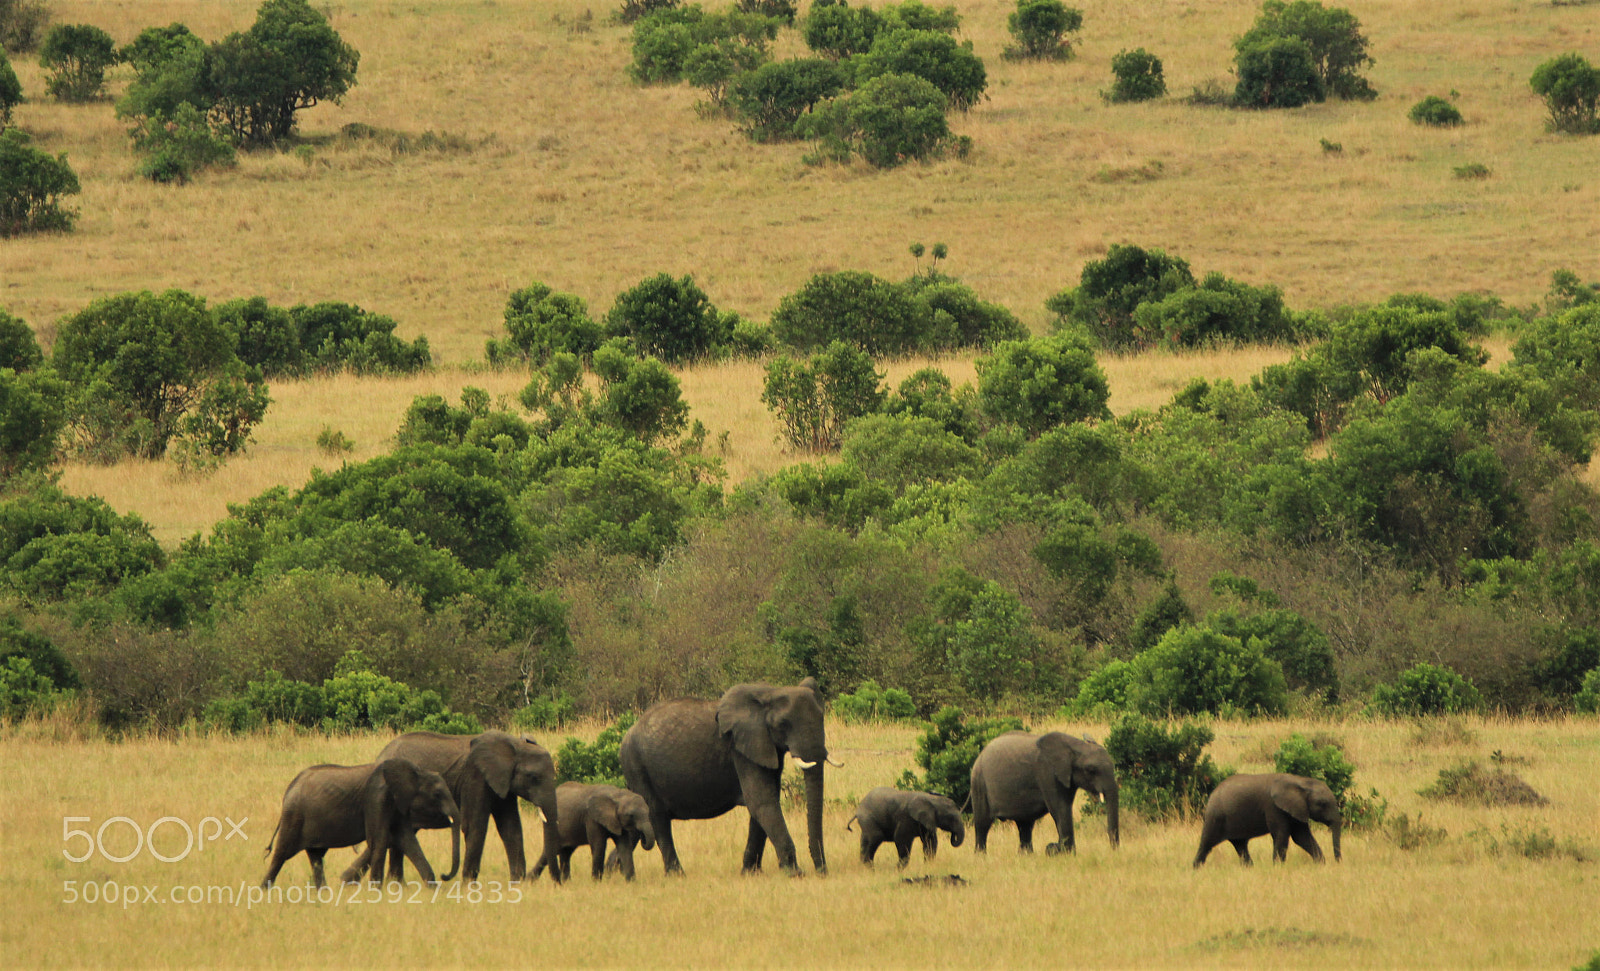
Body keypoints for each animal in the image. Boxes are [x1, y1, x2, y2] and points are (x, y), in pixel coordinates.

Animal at [260, 758, 461, 889]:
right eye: (437, 794)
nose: (444, 875)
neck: (416, 771)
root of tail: (289, 788)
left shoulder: (397, 803)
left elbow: (407, 840)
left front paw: (432, 889)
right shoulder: (377, 798)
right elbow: (379, 841)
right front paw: (376, 892)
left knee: (316, 856)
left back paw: (323, 893)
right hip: (294, 816)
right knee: (281, 854)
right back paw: (263, 891)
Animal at [349, 731, 562, 883]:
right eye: (534, 778)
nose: (557, 882)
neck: (514, 745)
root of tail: (380, 755)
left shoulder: (503, 783)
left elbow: (510, 828)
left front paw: (517, 884)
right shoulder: (475, 777)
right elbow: (475, 825)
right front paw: (469, 886)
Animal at [620, 677, 841, 876]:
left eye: (822, 718)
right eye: (783, 724)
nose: (822, 872)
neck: (770, 693)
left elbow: (764, 802)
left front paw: (750, 873)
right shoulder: (740, 748)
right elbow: (762, 800)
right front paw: (794, 873)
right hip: (636, 765)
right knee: (657, 818)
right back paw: (676, 875)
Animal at [969, 731, 1120, 855]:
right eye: (1091, 770)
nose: (1113, 850)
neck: (1074, 745)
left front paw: (1060, 850)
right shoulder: (1047, 774)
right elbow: (1060, 809)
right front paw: (1064, 853)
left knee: (1025, 825)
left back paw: (1026, 856)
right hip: (979, 782)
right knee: (983, 823)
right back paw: (981, 856)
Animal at [1192, 772, 1342, 867]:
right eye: (1322, 803)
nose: (1338, 863)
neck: (1300, 781)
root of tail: (1212, 794)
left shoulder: (1296, 808)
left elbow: (1301, 837)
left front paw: (1321, 864)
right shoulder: (1273, 807)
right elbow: (1282, 835)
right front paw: (1278, 867)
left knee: (1240, 845)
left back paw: (1249, 868)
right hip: (1216, 816)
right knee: (1207, 843)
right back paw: (1196, 869)